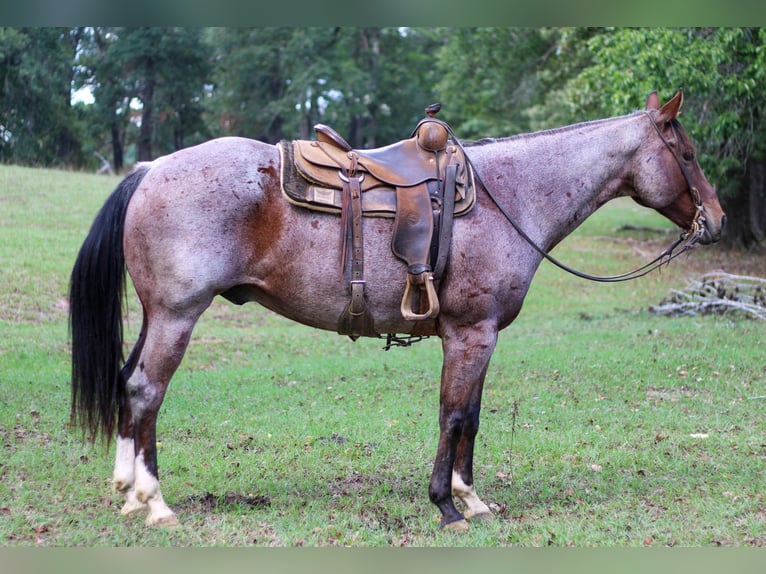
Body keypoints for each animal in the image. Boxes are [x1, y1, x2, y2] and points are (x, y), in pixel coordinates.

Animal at [67, 90, 728, 532]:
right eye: (689, 154)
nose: (716, 221)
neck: (511, 196)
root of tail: (151, 168)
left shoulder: (474, 335)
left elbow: (472, 417)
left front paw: (472, 498)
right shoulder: (471, 333)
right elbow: (454, 415)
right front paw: (447, 505)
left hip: (158, 315)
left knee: (127, 384)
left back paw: (127, 490)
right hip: (177, 316)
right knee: (147, 390)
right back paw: (155, 502)